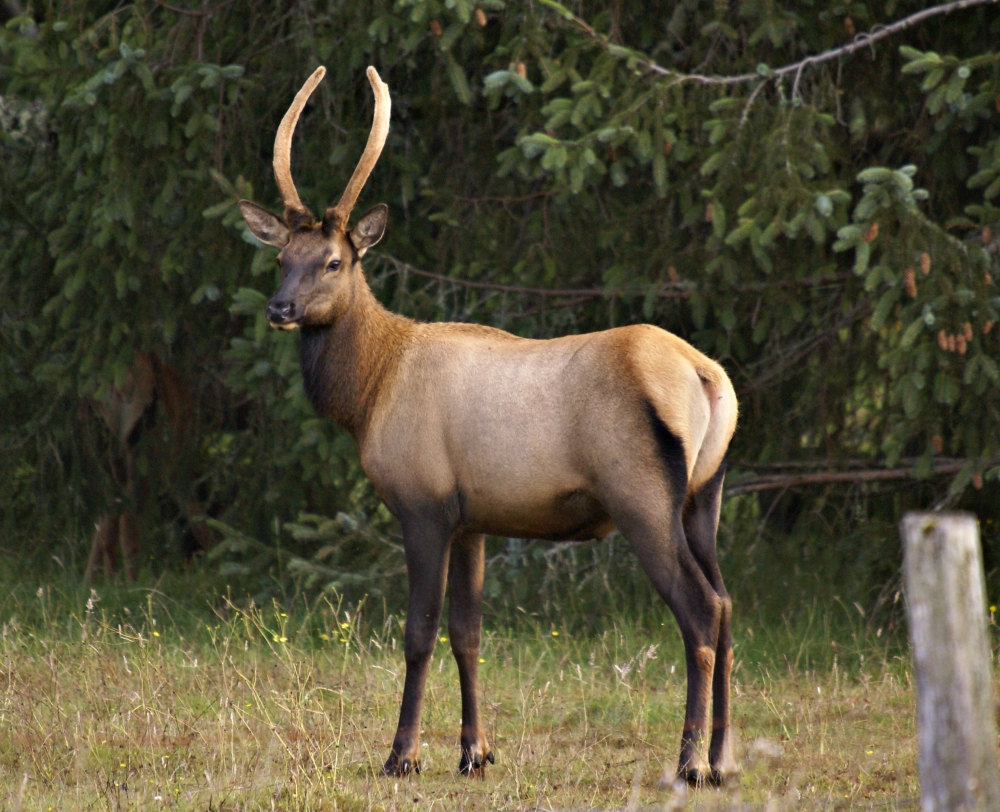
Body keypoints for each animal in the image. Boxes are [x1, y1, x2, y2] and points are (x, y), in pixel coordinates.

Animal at [237, 65, 740, 786]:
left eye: (333, 261)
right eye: (282, 258)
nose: (279, 309)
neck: (369, 392)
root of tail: (708, 379)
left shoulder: (422, 504)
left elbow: (418, 630)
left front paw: (403, 753)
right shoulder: (472, 518)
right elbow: (468, 634)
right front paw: (475, 751)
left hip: (643, 497)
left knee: (699, 612)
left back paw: (690, 761)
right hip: (706, 495)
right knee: (726, 605)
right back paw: (724, 759)